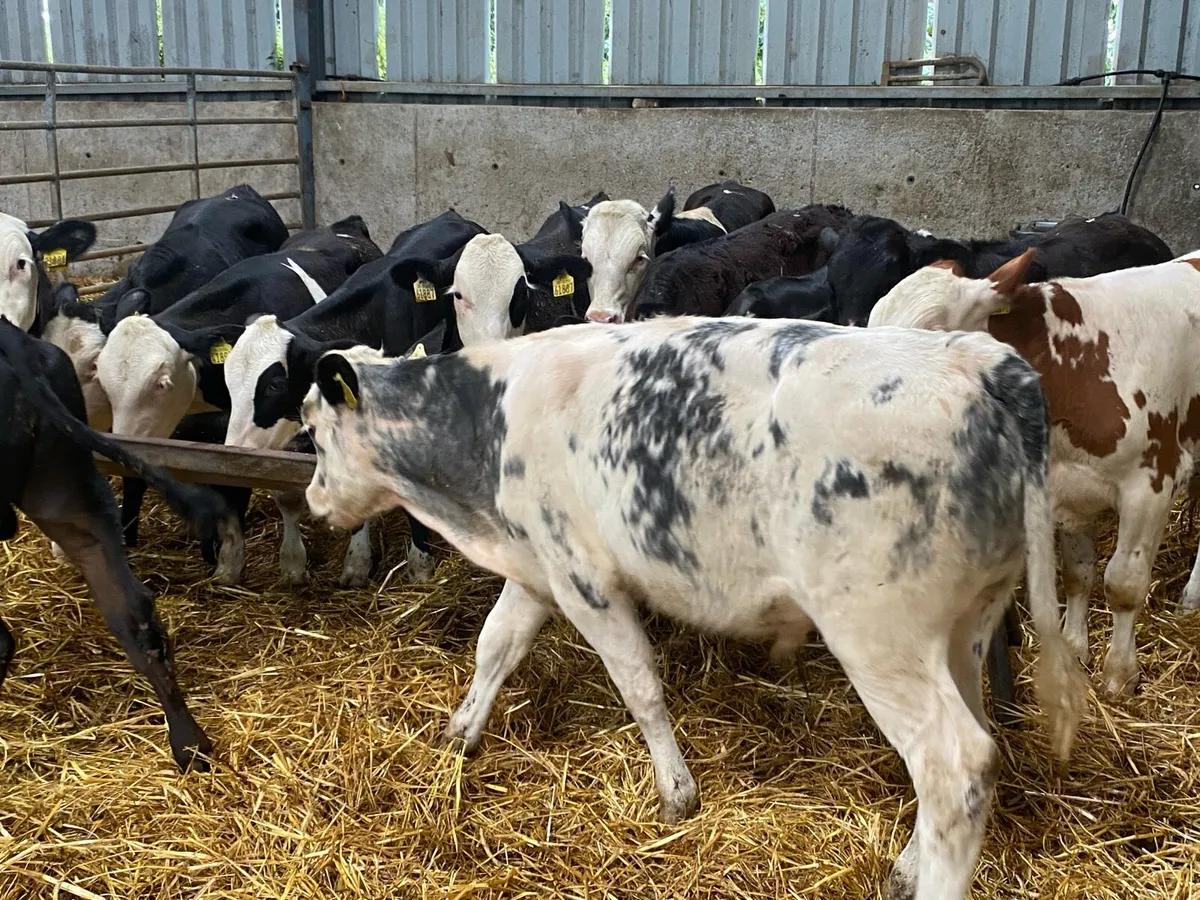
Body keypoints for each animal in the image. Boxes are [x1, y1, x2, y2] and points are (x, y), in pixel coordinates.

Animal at [299, 315, 1086, 899]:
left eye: (311, 431)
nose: (311, 499)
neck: (490, 419)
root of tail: (979, 358)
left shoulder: (586, 579)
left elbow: (640, 686)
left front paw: (677, 795)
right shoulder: (539, 566)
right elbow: (497, 645)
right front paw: (459, 733)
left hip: (879, 636)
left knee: (955, 765)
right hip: (965, 625)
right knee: (971, 745)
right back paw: (906, 866)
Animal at [868, 248, 1200, 698]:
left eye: (932, 333)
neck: (1075, 368)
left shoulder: (1151, 482)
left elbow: (1123, 585)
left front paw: (1119, 674)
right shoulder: (1065, 488)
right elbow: (1078, 573)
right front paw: (1075, 647)